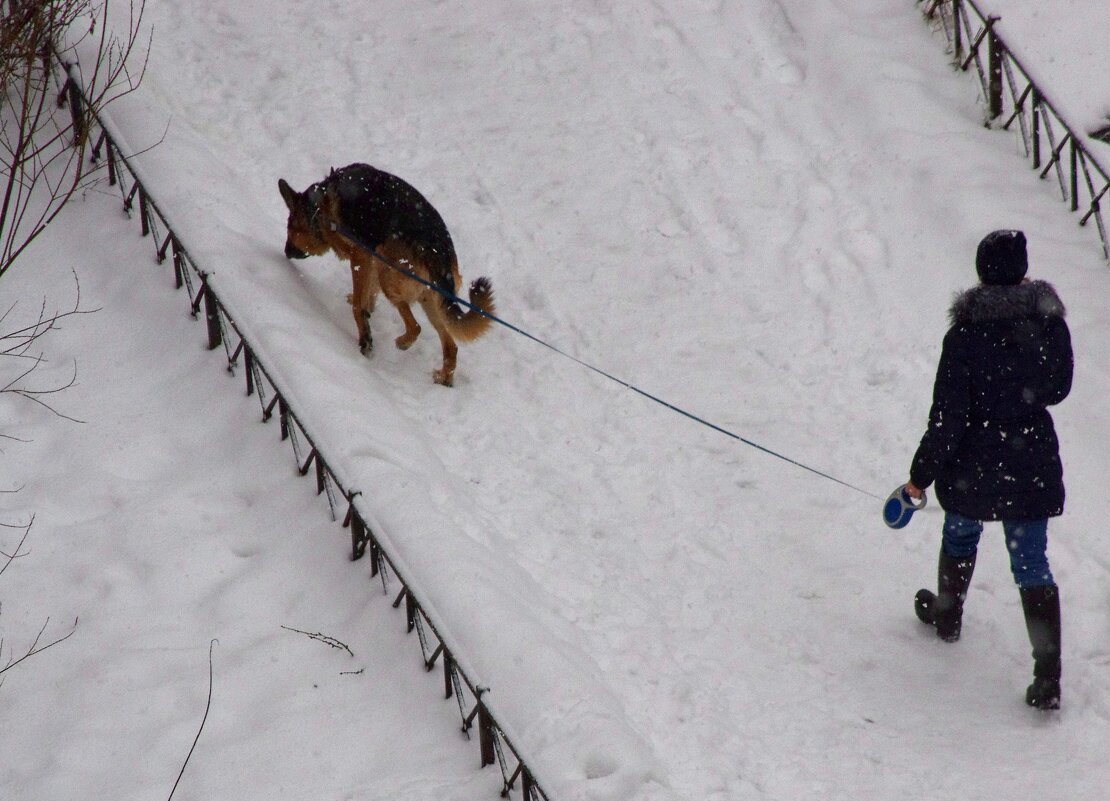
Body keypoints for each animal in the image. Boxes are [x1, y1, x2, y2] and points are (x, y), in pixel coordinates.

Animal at [281, 161, 495, 383]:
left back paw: (404, 342)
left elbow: (358, 304)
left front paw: (365, 337)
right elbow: (367, 295)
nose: (286, 251)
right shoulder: (371, 261)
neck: (319, 209)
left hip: (389, 274)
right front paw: (367, 312)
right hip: (429, 300)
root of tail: (439, 252)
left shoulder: (361, 257)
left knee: (415, 326)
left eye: (289, 228)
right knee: (451, 346)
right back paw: (444, 378)